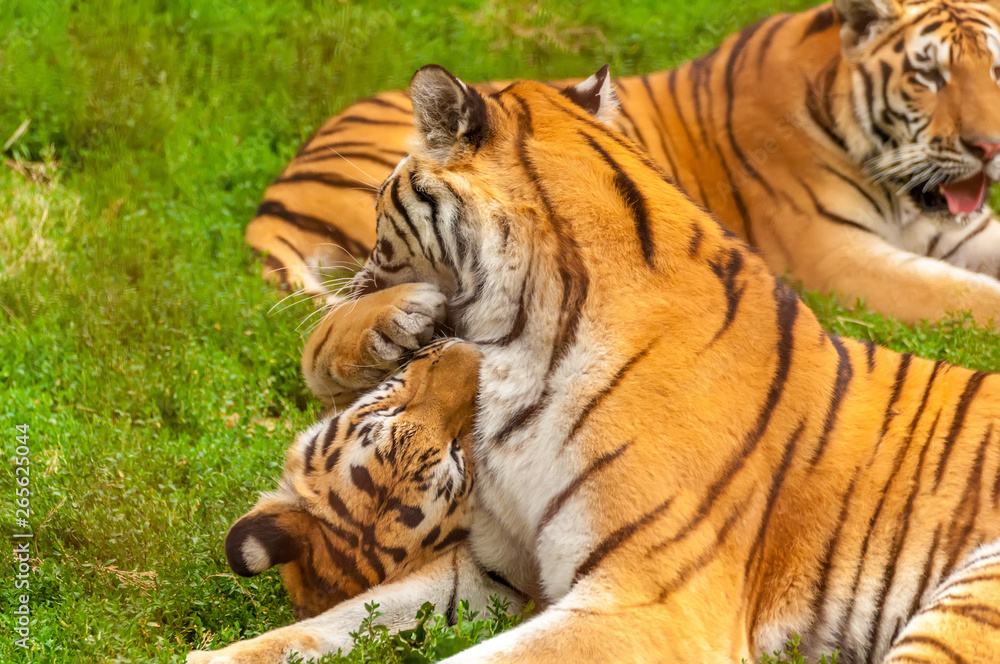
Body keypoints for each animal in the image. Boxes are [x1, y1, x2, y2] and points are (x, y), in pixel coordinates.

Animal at [189, 65, 1000, 663]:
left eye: (381, 205)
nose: (355, 293)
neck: (519, 337)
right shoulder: (496, 559)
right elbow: (339, 620)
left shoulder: (649, 600)